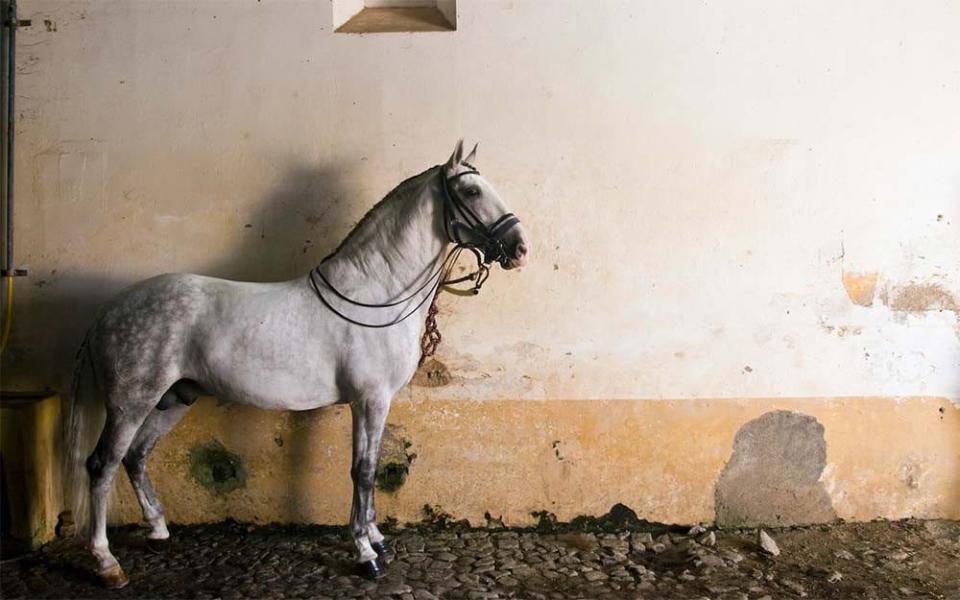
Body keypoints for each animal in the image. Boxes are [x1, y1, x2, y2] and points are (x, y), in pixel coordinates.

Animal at [65, 141, 532, 584]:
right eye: (472, 191)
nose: (520, 249)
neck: (375, 295)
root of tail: (107, 311)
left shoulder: (376, 403)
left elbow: (370, 468)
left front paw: (376, 539)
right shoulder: (369, 400)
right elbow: (363, 471)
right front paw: (365, 553)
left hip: (174, 399)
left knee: (136, 456)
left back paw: (158, 532)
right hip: (131, 403)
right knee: (102, 465)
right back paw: (106, 563)